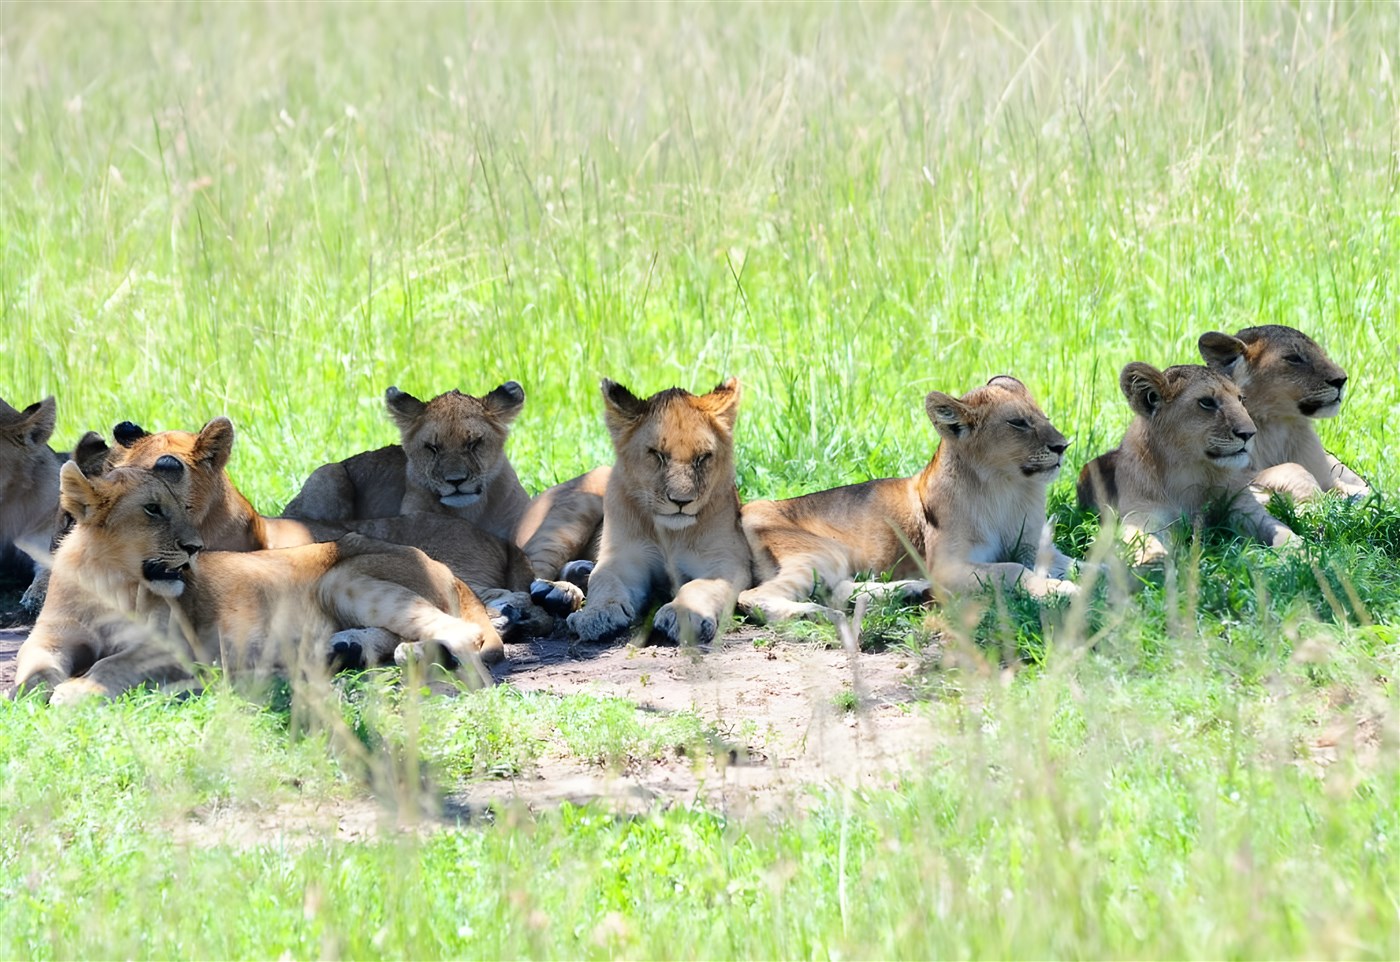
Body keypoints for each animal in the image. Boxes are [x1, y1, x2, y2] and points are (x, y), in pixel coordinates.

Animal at [13, 458, 502, 704]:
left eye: (183, 508)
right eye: (153, 509)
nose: (195, 548)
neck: (108, 581)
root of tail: (440, 564)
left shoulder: (175, 646)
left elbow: (110, 665)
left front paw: (75, 691)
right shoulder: (49, 637)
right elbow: (31, 664)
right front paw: (29, 692)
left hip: (343, 577)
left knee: (464, 633)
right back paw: (354, 650)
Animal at [566, 378, 751, 646]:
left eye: (703, 457)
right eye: (657, 455)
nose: (681, 501)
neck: (670, 533)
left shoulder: (727, 560)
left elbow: (699, 586)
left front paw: (683, 615)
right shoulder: (623, 556)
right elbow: (604, 579)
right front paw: (596, 614)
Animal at [738, 376, 1080, 625]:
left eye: (1044, 417)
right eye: (1018, 423)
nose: (1063, 446)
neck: (1009, 488)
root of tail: (742, 507)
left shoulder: (1037, 547)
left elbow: (1081, 563)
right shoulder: (946, 566)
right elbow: (1013, 569)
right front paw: (1061, 589)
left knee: (839, 590)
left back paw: (909, 592)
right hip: (820, 552)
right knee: (753, 597)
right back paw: (818, 614)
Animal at [1077, 362, 1300, 566]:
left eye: (1241, 399)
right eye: (1207, 402)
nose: (1250, 433)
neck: (1192, 471)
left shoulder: (1245, 506)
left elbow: (1281, 529)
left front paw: (1299, 553)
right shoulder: (1142, 512)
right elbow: (1139, 536)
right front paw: (1153, 561)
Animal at [1197, 325, 1370, 501]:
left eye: (1322, 354)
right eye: (1294, 358)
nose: (1342, 380)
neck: (1279, 425)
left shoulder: (1329, 476)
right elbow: (1291, 469)